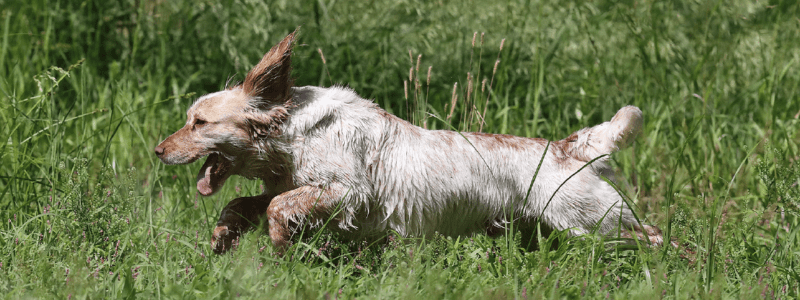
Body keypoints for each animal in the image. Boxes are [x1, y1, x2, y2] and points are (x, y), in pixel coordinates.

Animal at [152, 29, 664, 253]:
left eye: (198, 122)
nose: (158, 151)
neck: (296, 135)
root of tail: (570, 146)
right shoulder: (294, 185)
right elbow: (246, 202)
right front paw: (223, 236)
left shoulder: (347, 190)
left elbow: (278, 208)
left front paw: (279, 243)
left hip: (590, 221)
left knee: (656, 237)